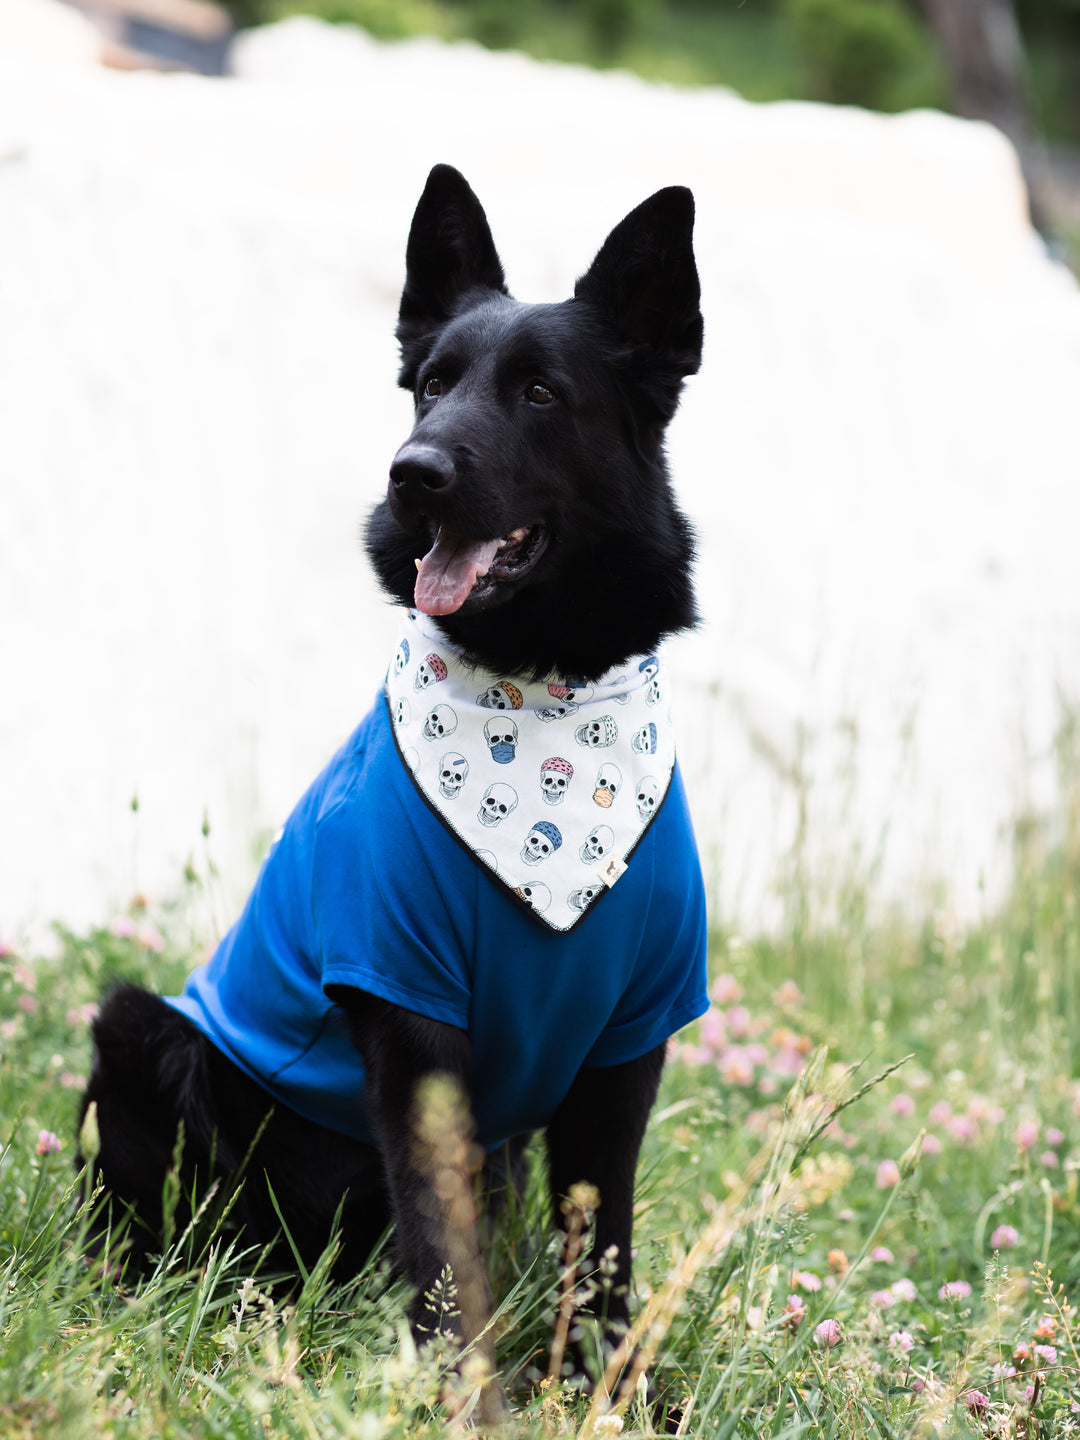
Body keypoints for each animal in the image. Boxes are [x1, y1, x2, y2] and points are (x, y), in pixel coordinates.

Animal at [84, 165, 711, 1405]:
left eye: (539, 393)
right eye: (431, 385)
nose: (411, 474)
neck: (542, 702)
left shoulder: (629, 1042)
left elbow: (603, 1244)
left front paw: (605, 1393)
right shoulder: (414, 1026)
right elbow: (441, 1244)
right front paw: (464, 1398)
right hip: (141, 1036)